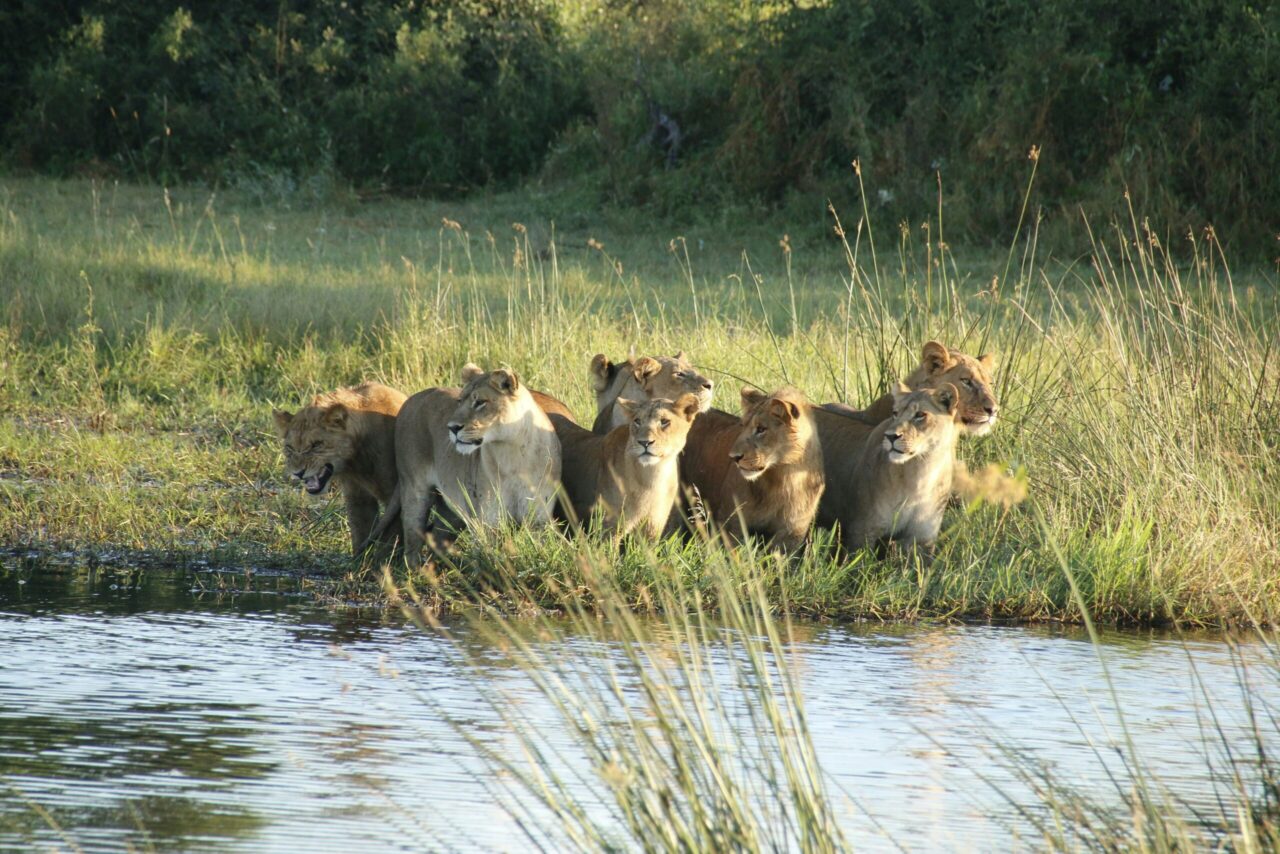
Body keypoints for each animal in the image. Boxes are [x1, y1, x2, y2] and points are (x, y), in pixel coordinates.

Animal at [272, 381, 407, 554]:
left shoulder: (394, 495)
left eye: (316, 445)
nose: (298, 473)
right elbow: (361, 530)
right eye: (290, 448)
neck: (356, 461)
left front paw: (386, 560)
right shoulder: (357, 496)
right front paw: (361, 560)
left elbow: (391, 536)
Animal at [391, 364, 561, 558]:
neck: (512, 454)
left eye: (480, 402)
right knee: (412, 542)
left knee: (438, 537)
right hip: (415, 491)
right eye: (459, 401)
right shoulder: (486, 524)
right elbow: (490, 558)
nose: (452, 428)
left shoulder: (538, 522)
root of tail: (412, 398)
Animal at [551, 394, 700, 538]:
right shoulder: (609, 528)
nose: (644, 442)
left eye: (664, 421)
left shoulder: (652, 530)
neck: (652, 477)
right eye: (637, 421)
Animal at [679, 387, 824, 552]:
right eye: (742, 426)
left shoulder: (792, 532)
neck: (783, 479)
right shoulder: (733, 523)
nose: (734, 457)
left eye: (761, 429)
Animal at [828, 382, 963, 552]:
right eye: (895, 413)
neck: (921, 473)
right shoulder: (861, 532)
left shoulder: (922, 539)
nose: (891, 436)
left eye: (920, 414)